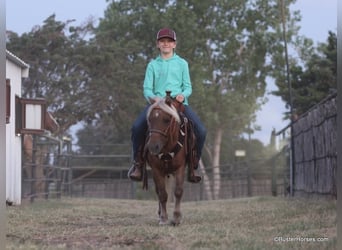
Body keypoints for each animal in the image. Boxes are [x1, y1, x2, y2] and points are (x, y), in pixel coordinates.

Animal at [144, 94, 191, 227]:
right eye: (149, 120)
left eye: (166, 120)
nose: (153, 147)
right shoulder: (156, 170)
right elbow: (162, 194)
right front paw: (164, 218)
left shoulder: (180, 168)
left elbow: (178, 191)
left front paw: (176, 218)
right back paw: (160, 214)